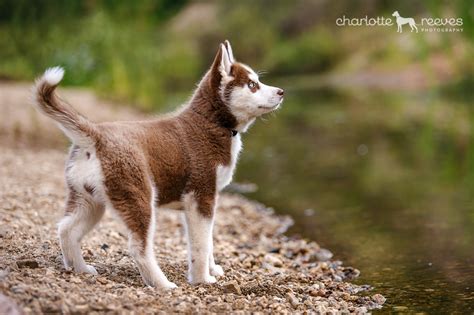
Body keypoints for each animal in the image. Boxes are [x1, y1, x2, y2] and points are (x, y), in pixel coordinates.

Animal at [34, 40, 286, 290]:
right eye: (252, 85)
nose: (282, 92)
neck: (210, 122)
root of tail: (97, 135)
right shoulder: (200, 197)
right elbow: (201, 246)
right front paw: (202, 279)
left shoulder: (204, 201)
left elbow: (209, 242)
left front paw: (212, 269)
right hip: (139, 199)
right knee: (138, 247)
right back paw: (162, 284)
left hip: (90, 200)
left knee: (66, 230)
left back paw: (80, 269)